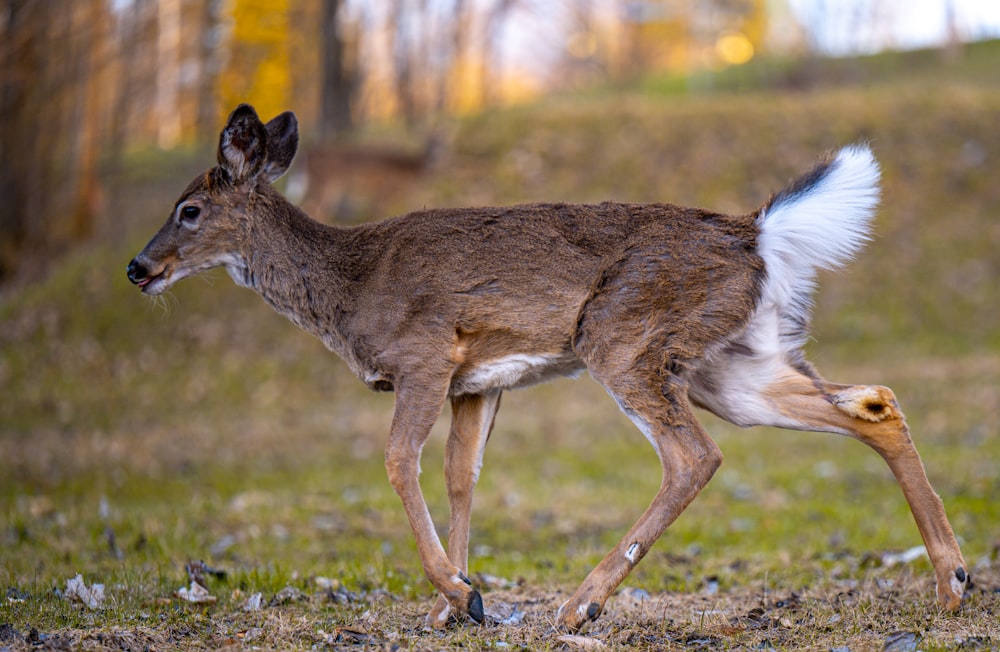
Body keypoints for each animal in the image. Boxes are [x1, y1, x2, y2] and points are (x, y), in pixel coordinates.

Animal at [127, 104, 968, 628]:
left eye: (189, 210)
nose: (137, 267)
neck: (349, 285)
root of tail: (758, 231)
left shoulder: (424, 354)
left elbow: (399, 462)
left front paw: (455, 592)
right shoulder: (476, 382)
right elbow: (461, 477)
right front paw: (456, 601)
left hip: (622, 336)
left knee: (694, 456)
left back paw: (582, 604)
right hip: (730, 364)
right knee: (873, 402)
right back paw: (954, 583)